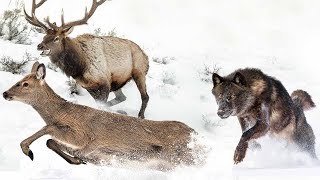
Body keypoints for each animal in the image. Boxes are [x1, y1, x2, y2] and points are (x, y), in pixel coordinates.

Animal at [2, 62, 201, 170]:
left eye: (25, 84)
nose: (5, 93)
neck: (64, 113)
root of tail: (197, 134)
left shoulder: (83, 135)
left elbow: (47, 129)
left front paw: (27, 150)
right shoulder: (81, 146)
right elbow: (51, 141)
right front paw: (77, 161)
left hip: (185, 156)